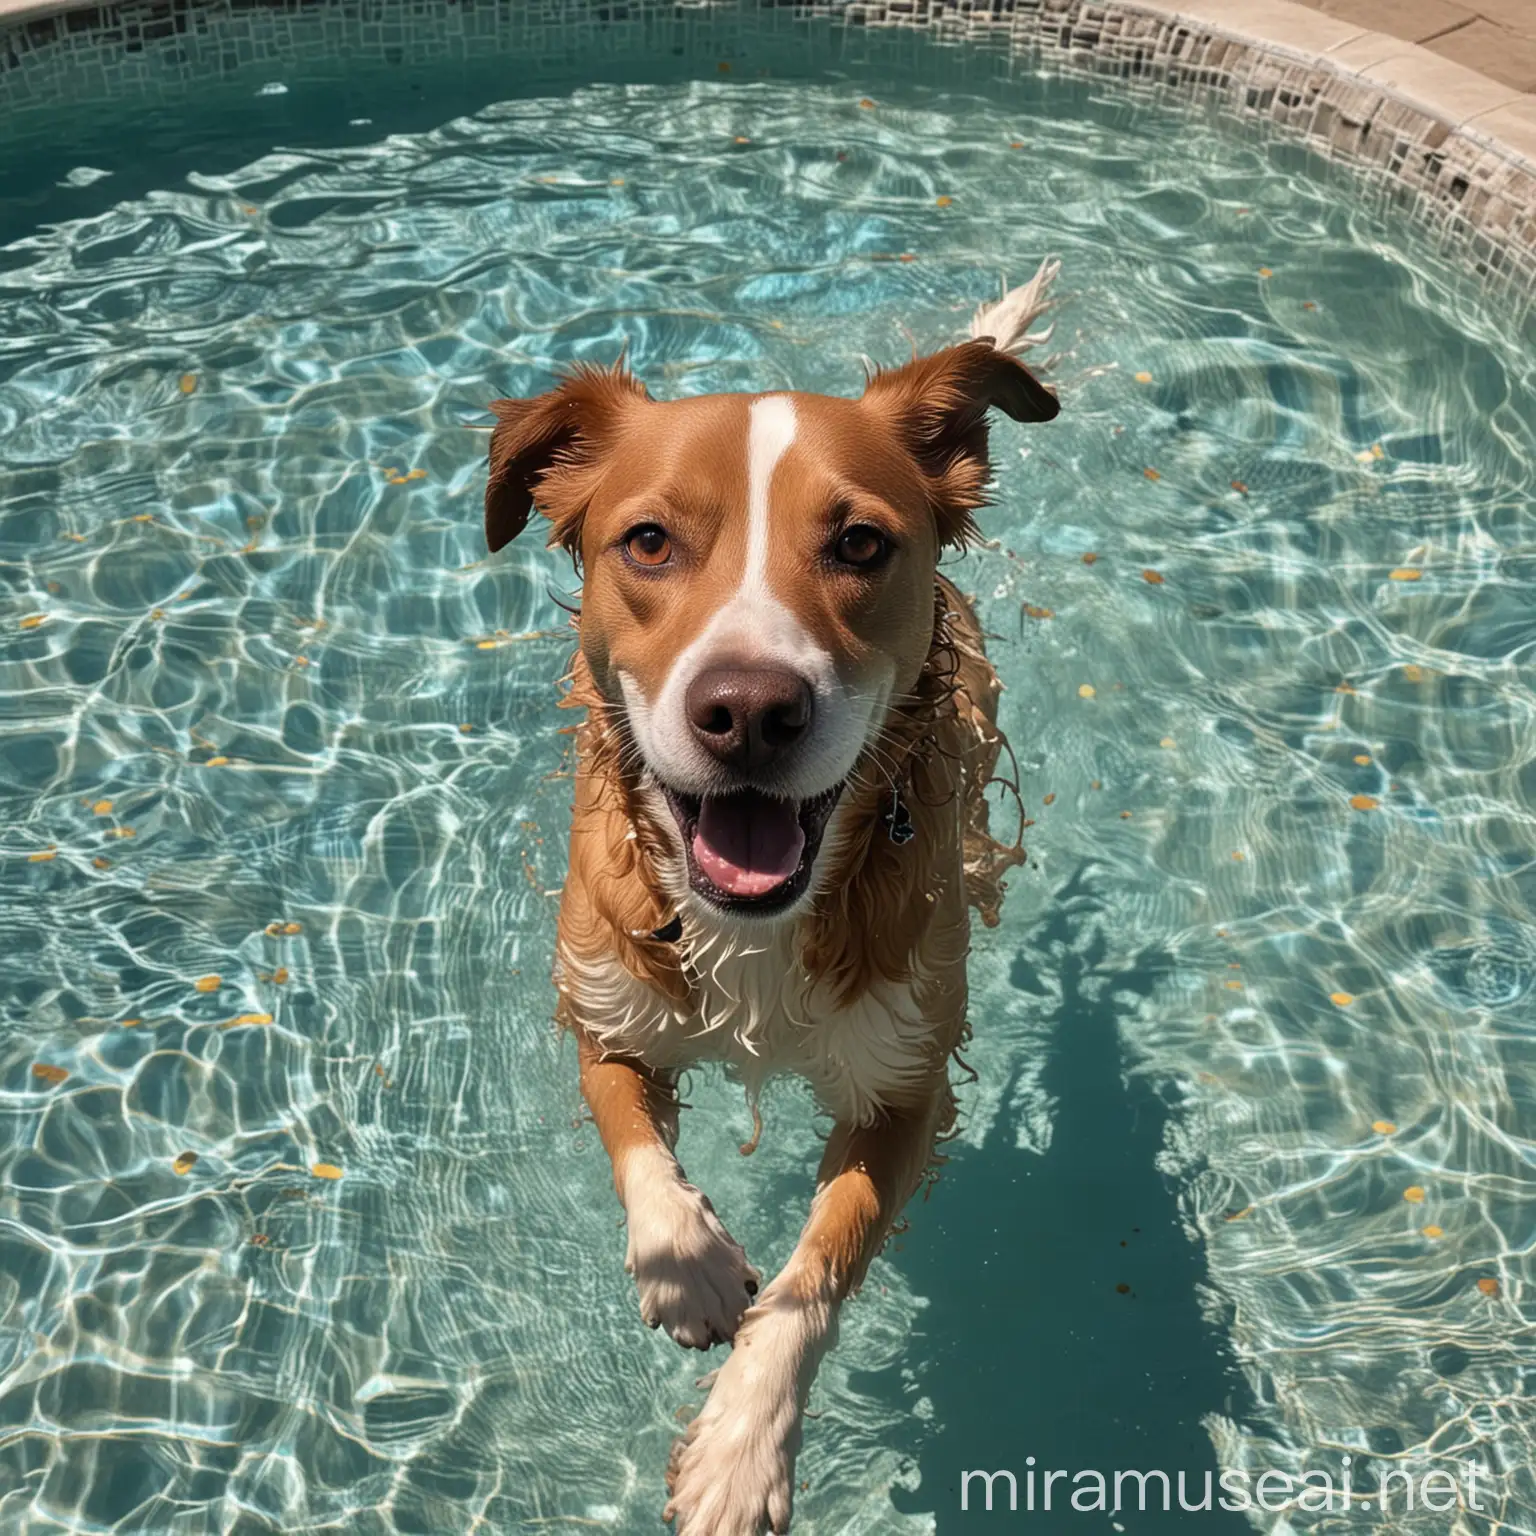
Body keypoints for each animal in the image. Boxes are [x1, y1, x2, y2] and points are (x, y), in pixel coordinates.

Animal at [485, 264, 1062, 1536]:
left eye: (860, 542)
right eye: (648, 541)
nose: (750, 709)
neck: (756, 928)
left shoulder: (906, 1086)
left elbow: (818, 1272)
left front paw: (744, 1448)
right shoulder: (601, 1003)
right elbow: (629, 1135)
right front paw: (691, 1268)